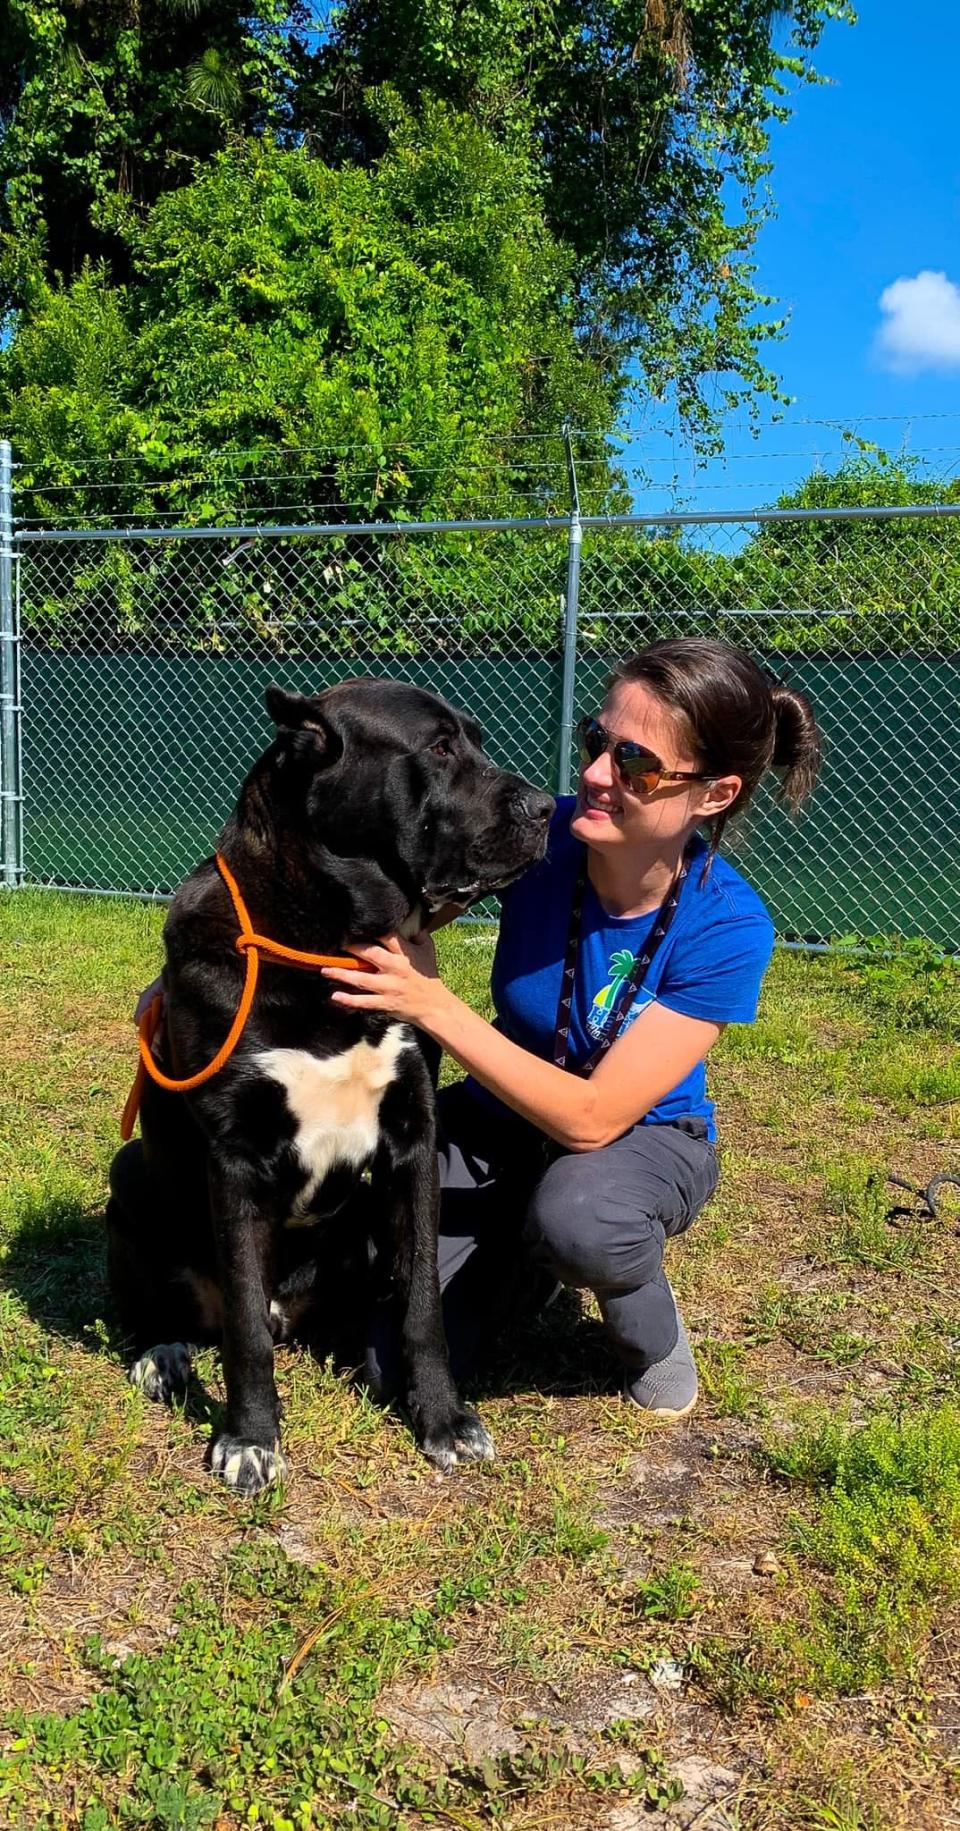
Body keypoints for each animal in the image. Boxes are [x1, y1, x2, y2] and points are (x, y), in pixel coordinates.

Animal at [103, 681, 549, 1494]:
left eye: (473, 738)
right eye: (439, 746)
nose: (544, 809)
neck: (329, 941)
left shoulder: (413, 1138)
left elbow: (421, 1303)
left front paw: (443, 1419)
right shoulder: (233, 1155)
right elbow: (244, 1324)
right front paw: (249, 1439)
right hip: (131, 1178)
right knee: (197, 1314)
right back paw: (164, 1353)